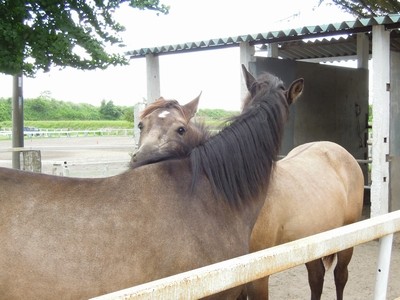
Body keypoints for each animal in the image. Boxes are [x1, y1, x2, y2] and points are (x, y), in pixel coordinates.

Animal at [133, 65, 364, 300]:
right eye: (141, 125)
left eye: (181, 129)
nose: (140, 163)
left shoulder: (257, 277)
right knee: (316, 278)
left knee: (340, 276)